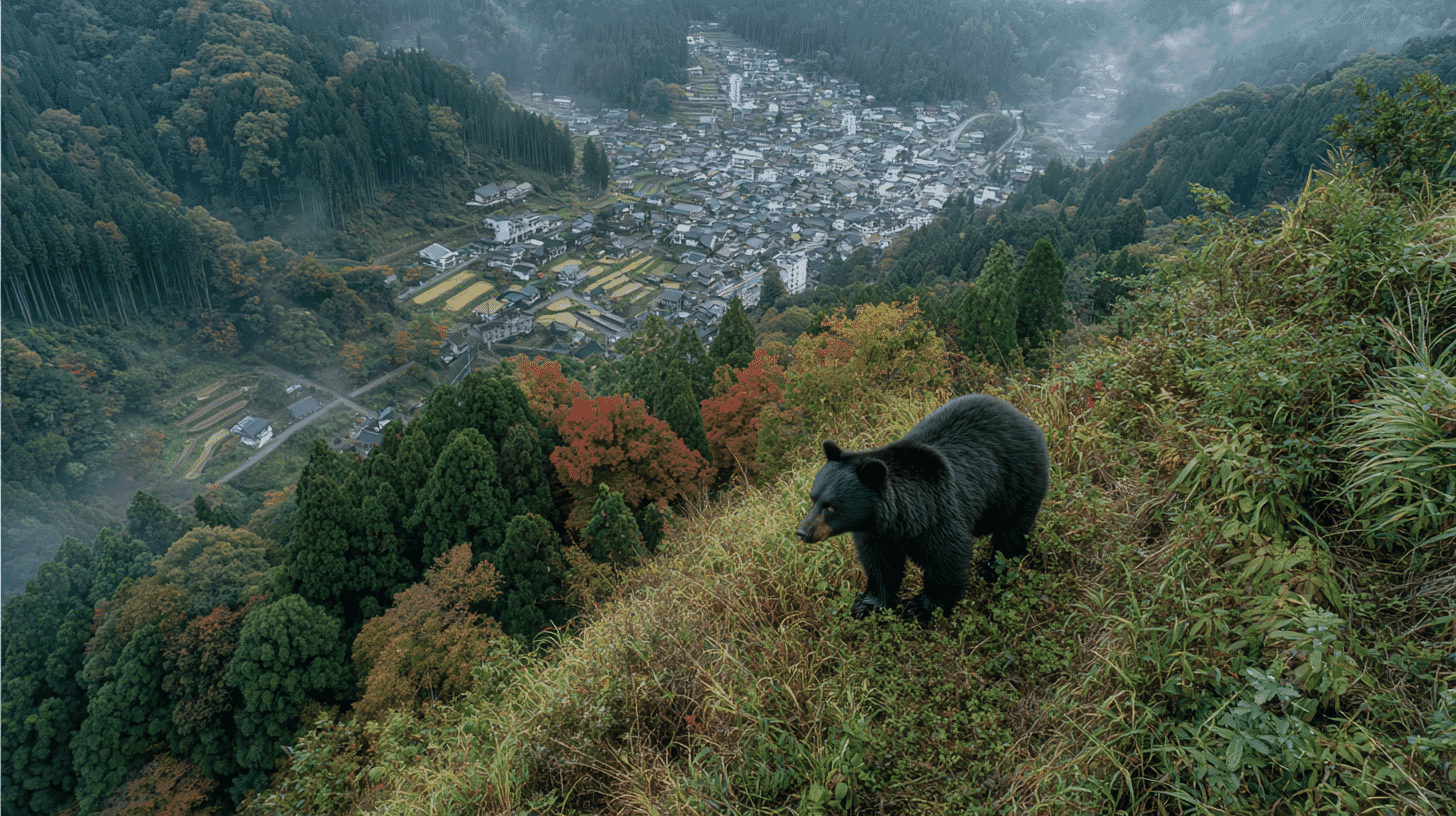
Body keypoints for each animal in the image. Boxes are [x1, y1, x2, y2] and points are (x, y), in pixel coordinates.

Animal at [795, 394, 1050, 622]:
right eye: (813, 499)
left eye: (831, 507)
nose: (802, 532)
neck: (899, 519)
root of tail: (1022, 417)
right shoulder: (875, 534)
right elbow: (879, 563)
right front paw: (868, 604)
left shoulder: (938, 514)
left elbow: (946, 558)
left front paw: (921, 608)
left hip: (1017, 481)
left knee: (1011, 530)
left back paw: (991, 567)